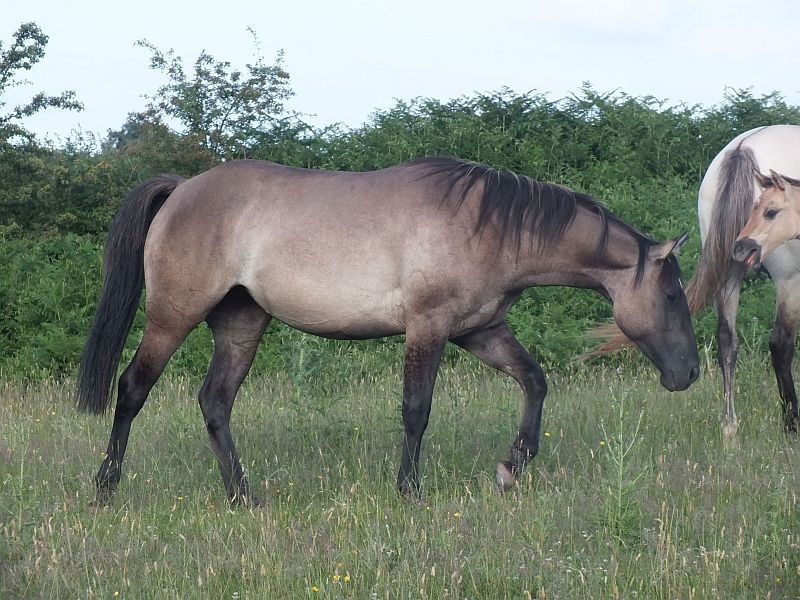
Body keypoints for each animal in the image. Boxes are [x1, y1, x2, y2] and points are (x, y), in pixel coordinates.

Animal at [78, 157, 699, 506]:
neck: (490, 225)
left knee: (215, 403)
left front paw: (511, 467)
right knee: (132, 389)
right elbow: (416, 410)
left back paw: (243, 497)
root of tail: (182, 189)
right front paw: (409, 491)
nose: (690, 373)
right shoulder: (427, 327)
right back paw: (105, 489)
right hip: (172, 316)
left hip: (240, 323)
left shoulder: (479, 330)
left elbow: (534, 382)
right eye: (673, 295)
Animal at [590, 125, 800, 437]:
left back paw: (729, 427)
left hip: (729, 267)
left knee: (727, 340)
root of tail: (743, 148)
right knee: (780, 344)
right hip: (785, 279)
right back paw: (790, 424)